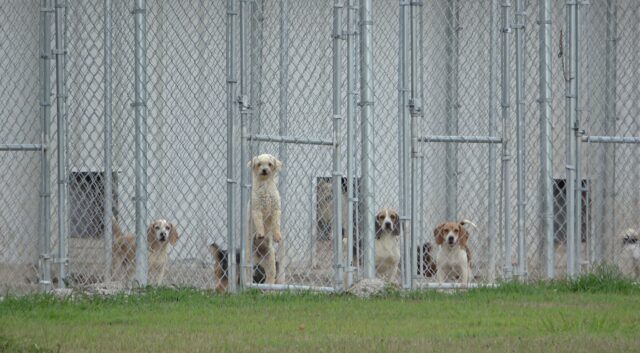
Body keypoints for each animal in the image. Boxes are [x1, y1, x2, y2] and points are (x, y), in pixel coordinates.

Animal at [248, 153, 282, 284]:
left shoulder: (276, 209)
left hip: (271, 261)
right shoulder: (256, 210)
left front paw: (277, 236)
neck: (265, 186)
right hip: (249, 261)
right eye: (259, 164)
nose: (264, 170)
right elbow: (259, 223)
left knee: (270, 276)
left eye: (269, 164)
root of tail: (259, 257)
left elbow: (276, 224)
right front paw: (260, 233)